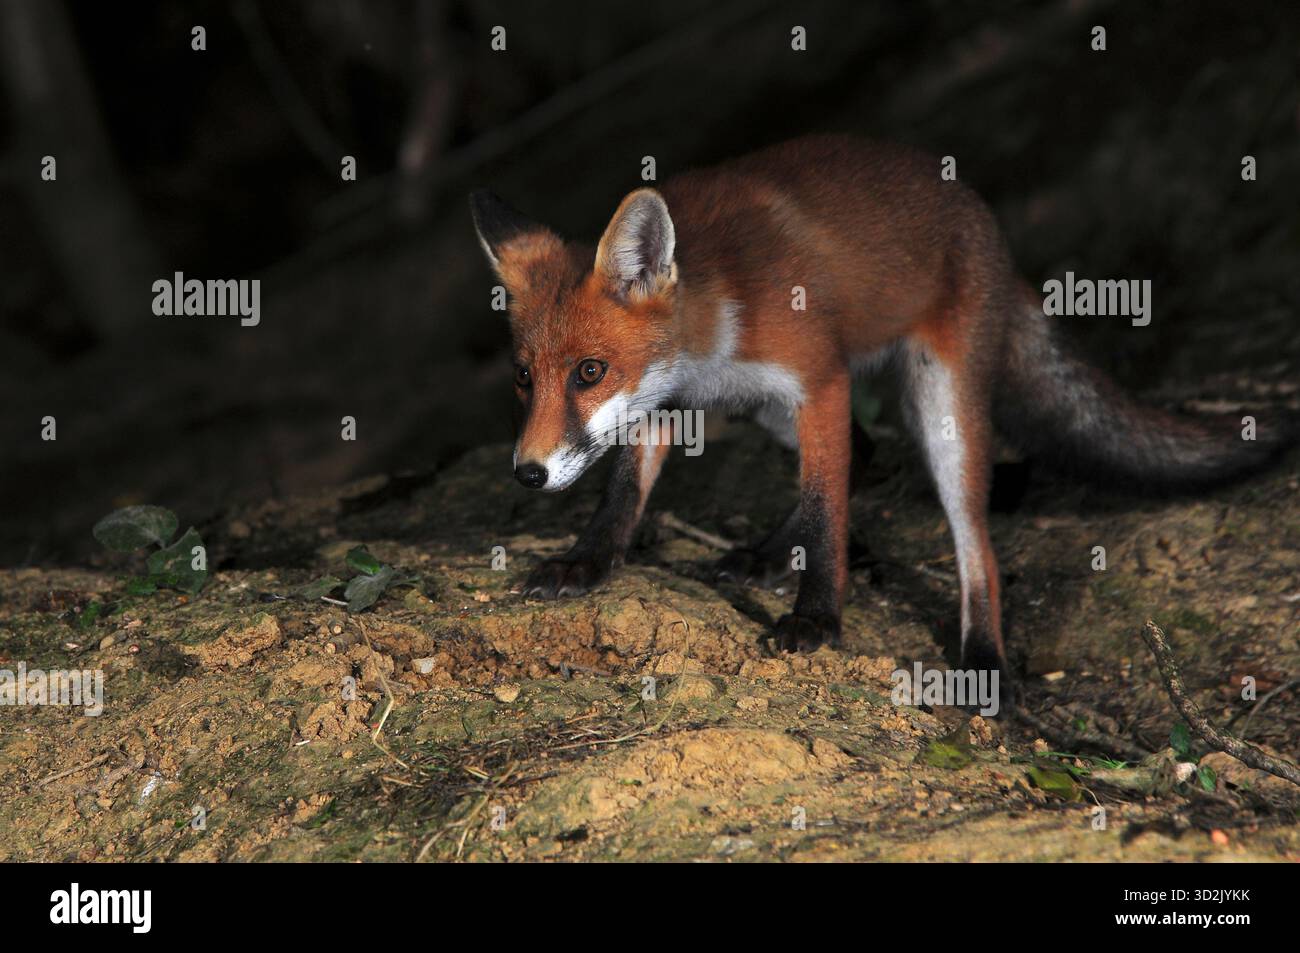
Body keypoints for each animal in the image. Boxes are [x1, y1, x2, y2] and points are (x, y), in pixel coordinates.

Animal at [469, 135, 1285, 696]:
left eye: (589, 371)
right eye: (523, 378)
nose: (527, 473)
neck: (715, 323)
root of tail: (986, 221)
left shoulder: (818, 380)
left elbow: (825, 506)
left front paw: (818, 617)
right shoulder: (668, 402)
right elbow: (622, 494)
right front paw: (587, 560)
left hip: (941, 407)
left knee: (972, 536)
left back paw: (984, 658)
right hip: (773, 413)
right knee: (864, 452)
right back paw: (768, 553)